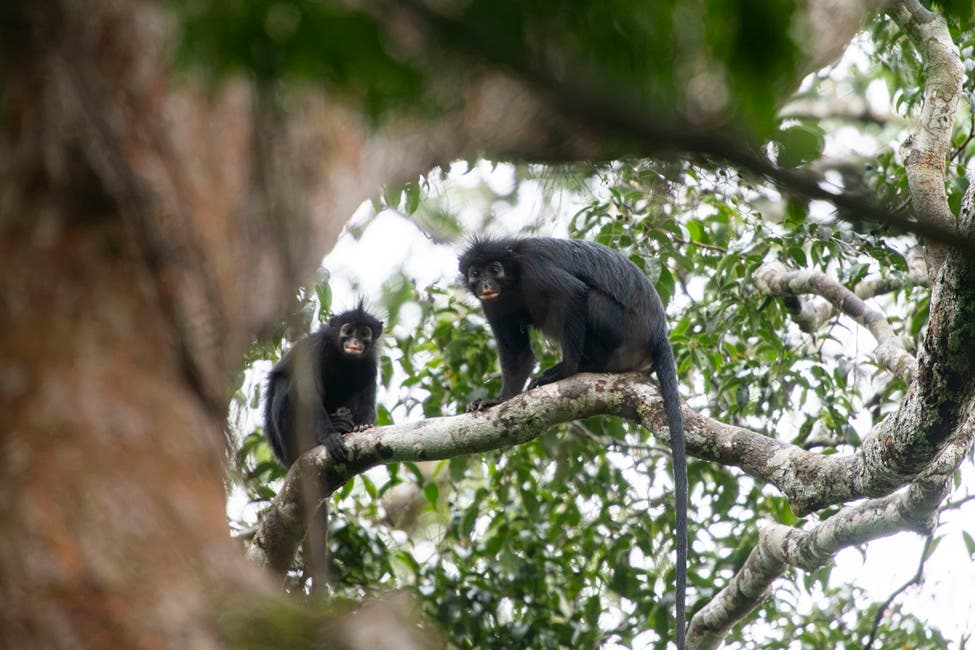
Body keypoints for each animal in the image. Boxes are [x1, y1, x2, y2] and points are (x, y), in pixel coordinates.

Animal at [264, 301, 383, 467]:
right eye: (348, 331)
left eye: (364, 333)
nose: (354, 342)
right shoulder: (315, 348)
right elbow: (309, 395)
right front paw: (329, 436)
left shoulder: (370, 363)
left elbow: (367, 397)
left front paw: (363, 425)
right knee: (285, 383)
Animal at [459, 237, 688, 649]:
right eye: (476, 272)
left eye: (494, 269)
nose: (485, 283)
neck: (513, 280)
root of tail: (657, 331)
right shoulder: (494, 304)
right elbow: (518, 354)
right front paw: (498, 401)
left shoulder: (534, 269)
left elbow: (573, 295)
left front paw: (563, 370)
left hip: (620, 327)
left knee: (589, 300)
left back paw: (579, 367)